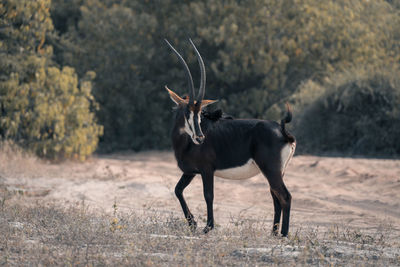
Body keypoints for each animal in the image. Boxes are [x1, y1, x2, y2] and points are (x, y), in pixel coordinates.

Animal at [164, 38, 296, 237]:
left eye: (200, 113)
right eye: (188, 112)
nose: (200, 138)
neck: (185, 143)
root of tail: (282, 130)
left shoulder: (206, 170)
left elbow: (208, 195)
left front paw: (207, 227)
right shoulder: (190, 172)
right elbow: (177, 190)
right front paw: (192, 223)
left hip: (271, 170)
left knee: (285, 196)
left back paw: (284, 234)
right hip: (277, 171)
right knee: (276, 197)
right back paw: (273, 233)